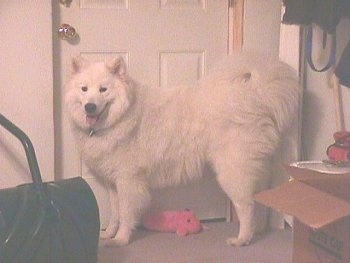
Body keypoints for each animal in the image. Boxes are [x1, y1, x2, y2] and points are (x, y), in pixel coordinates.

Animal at [65, 53, 298, 248]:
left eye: (103, 89)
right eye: (84, 89)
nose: (90, 106)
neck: (118, 118)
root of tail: (255, 96)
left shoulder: (128, 181)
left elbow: (125, 214)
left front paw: (121, 240)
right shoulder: (113, 183)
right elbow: (115, 214)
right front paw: (108, 235)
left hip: (232, 171)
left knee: (246, 206)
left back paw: (242, 239)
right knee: (258, 199)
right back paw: (257, 232)